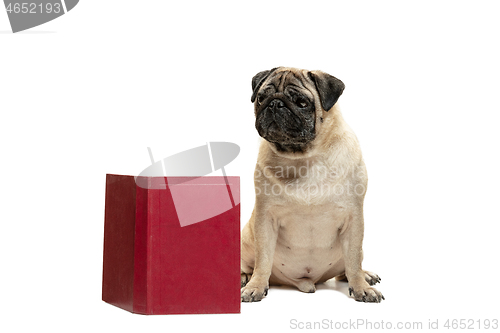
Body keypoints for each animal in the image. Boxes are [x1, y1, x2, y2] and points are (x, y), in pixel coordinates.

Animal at [240, 67, 384, 300]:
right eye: (261, 98)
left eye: (302, 102)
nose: (275, 103)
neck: (304, 158)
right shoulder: (265, 219)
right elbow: (263, 260)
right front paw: (256, 286)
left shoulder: (353, 219)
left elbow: (353, 260)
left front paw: (361, 287)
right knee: (249, 264)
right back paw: (245, 277)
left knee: (348, 267)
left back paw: (365, 275)